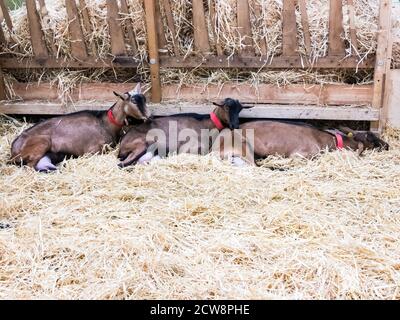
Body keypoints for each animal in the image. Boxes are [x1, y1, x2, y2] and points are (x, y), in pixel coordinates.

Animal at [9, 84, 150, 171]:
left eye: (144, 99)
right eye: (134, 101)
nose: (148, 116)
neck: (104, 122)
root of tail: (13, 150)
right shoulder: (93, 151)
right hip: (43, 142)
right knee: (29, 166)